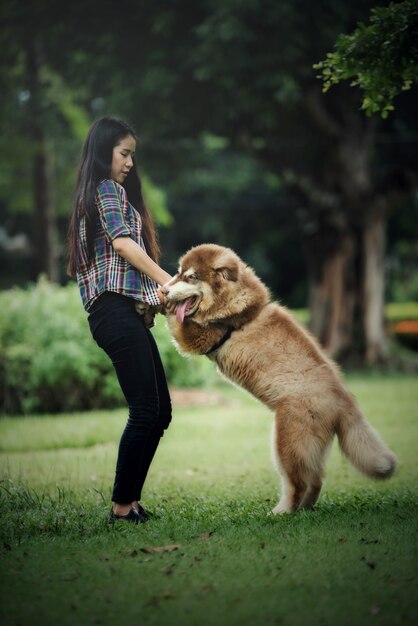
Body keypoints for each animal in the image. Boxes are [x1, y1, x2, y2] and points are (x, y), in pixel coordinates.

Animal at [162, 241, 396, 510]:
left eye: (191, 277)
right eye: (178, 272)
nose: (164, 290)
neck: (239, 304)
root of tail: (344, 401)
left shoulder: (200, 337)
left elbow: (179, 323)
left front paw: (161, 304)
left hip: (288, 443)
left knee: (298, 483)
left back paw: (283, 511)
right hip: (309, 446)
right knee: (316, 480)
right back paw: (304, 509)